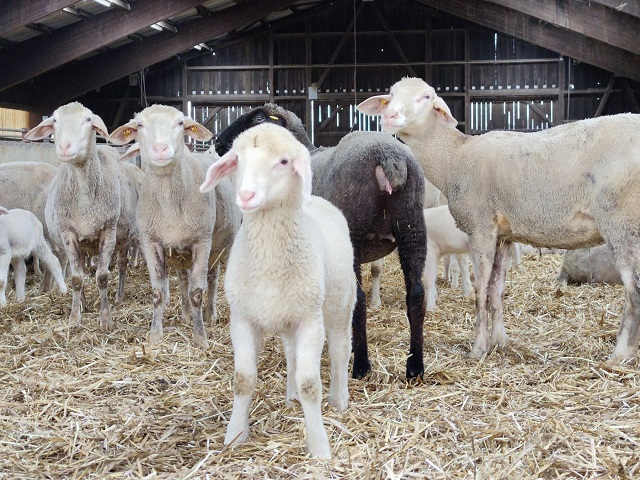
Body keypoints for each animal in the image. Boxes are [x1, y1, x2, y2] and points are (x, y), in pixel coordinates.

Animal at [24, 102, 139, 329]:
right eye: (55, 120)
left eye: (88, 120)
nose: (64, 147)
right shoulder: (68, 233)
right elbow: (77, 278)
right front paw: (75, 318)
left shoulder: (108, 231)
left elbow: (102, 276)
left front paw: (106, 318)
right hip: (82, 243)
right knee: (82, 271)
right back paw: (84, 303)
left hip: (123, 238)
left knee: (122, 266)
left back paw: (119, 297)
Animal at [109, 104, 240, 348]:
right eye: (139, 125)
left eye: (180, 123)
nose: (160, 149)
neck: (170, 201)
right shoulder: (151, 242)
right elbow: (158, 292)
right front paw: (155, 335)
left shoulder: (202, 241)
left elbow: (197, 292)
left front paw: (200, 338)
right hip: (181, 252)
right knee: (183, 278)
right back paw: (186, 315)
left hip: (220, 247)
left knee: (213, 279)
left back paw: (210, 314)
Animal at [200, 122, 356, 459]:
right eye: (237, 159)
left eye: (284, 161)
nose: (246, 195)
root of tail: (320, 201)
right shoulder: (242, 319)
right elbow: (243, 380)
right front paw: (234, 436)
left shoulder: (310, 321)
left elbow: (311, 383)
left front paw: (319, 447)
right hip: (289, 315)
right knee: (291, 353)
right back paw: (291, 396)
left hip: (338, 303)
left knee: (340, 348)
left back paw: (339, 399)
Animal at [214, 104, 427, 379]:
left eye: (259, 119)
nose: (218, 143)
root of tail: (390, 158)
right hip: (412, 225)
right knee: (416, 293)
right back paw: (415, 367)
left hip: (353, 231)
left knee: (357, 298)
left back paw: (361, 366)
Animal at [358, 76, 640, 359]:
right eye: (390, 95)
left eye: (426, 97)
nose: (389, 116)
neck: (455, 158)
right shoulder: (504, 235)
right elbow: (496, 290)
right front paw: (500, 340)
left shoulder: (480, 227)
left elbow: (481, 289)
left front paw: (479, 347)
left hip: (621, 222)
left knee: (634, 289)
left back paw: (620, 355)